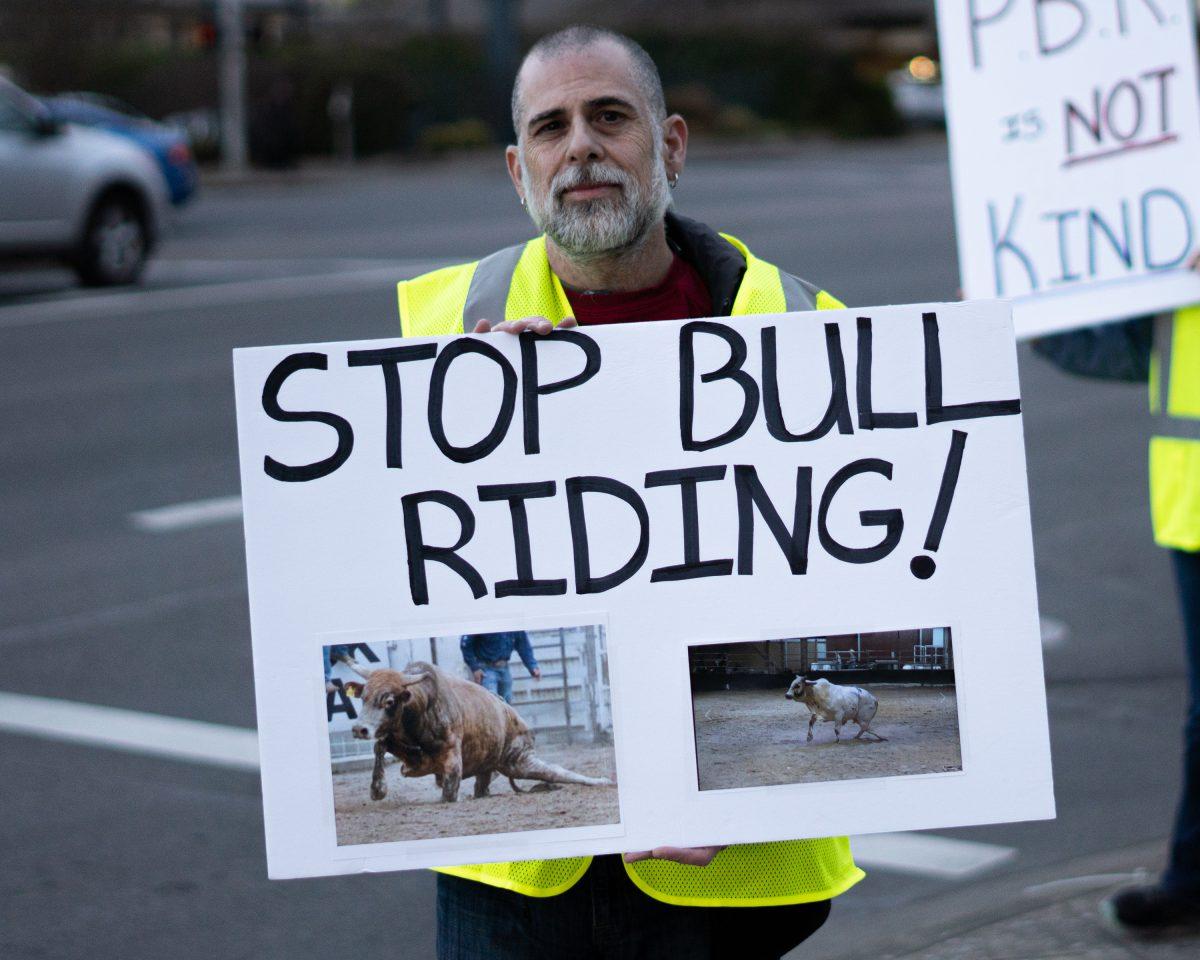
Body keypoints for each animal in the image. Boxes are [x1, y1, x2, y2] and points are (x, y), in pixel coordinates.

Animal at [348, 662, 609, 801]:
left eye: (389, 701)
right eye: (363, 697)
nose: (359, 729)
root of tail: (512, 713)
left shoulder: (452, 759)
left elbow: (448, 792)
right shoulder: (406, 749)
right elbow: (380, 745)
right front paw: (377, 789)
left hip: (520, 760)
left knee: (556, 772)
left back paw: (602, 780)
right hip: (494, 765)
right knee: (482, 785)